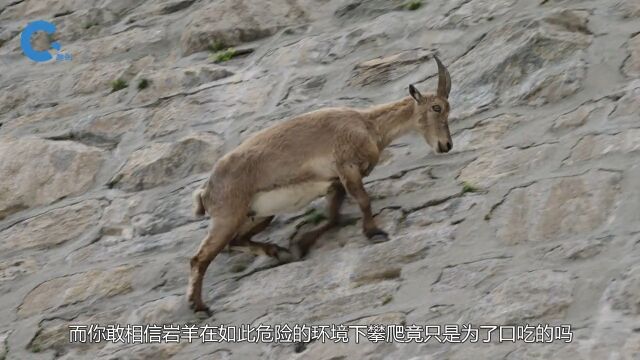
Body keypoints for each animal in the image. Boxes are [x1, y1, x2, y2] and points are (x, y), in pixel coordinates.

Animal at [188, 55, 452, 312]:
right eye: (436, 107)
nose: (447, 145)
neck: (368, 125)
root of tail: (205, 191)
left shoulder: (335, 183)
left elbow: (333, 217)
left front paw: (302, 244)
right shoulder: (347, 168)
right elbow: (363, 201)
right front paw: (375, 232)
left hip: (257, 215)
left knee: (234, 242)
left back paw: (278, 252)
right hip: (227, 215)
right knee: (200, 258)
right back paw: (199, 305)